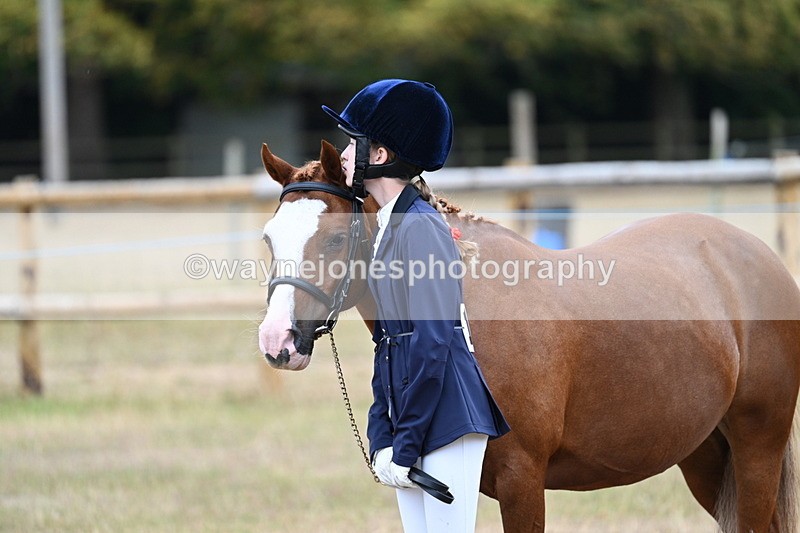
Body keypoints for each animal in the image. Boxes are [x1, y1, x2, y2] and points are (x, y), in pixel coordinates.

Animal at [257, 140, 800, 532]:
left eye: (334, 238)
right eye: (268, 238)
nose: (276, 342)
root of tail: (755, 253)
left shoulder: (522, 480)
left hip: (757, 448)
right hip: (706, 456)